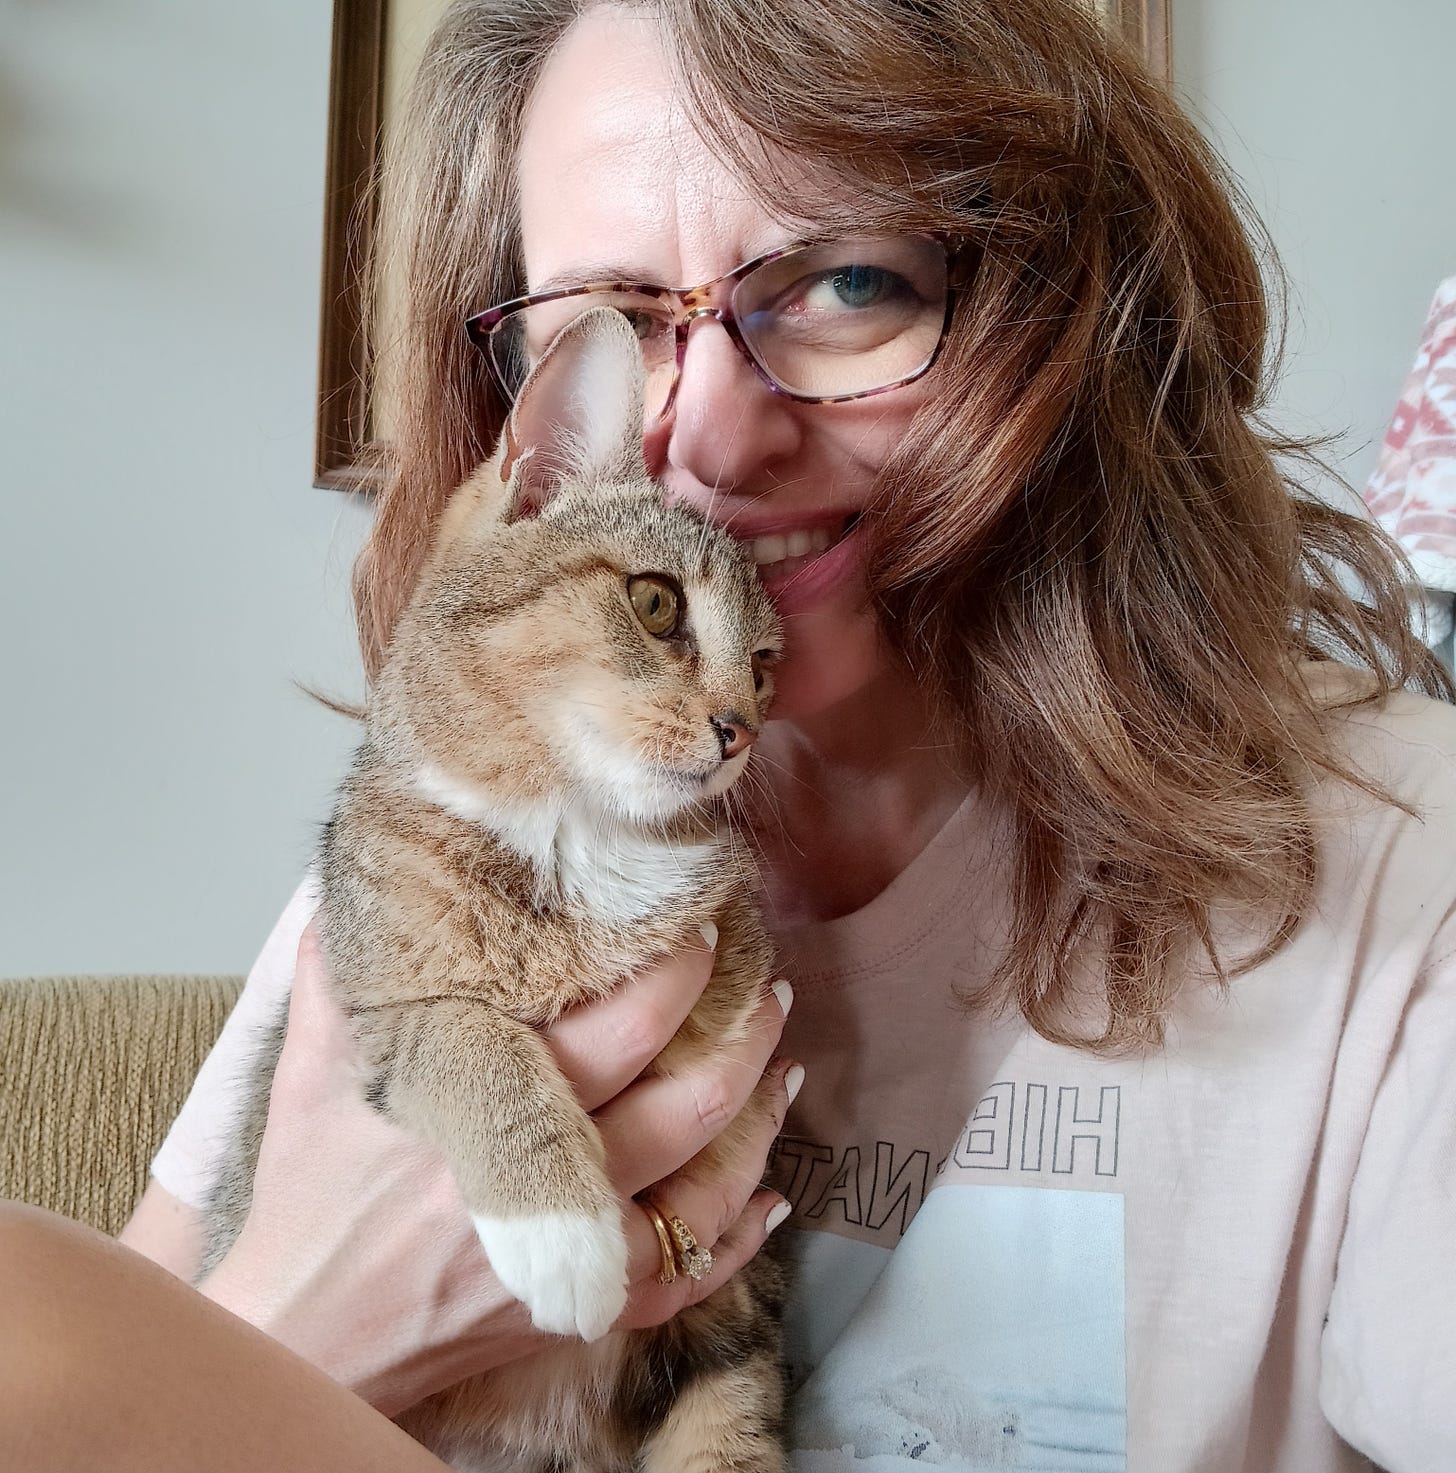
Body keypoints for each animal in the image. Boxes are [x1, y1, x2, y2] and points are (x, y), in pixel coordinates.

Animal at [201, 304, 784, 1467]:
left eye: (766, 667)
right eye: (655, 603)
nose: (739, 730)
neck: (575, 834)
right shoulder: (376, 1007)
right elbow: (472, 1038)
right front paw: (562, 1230)